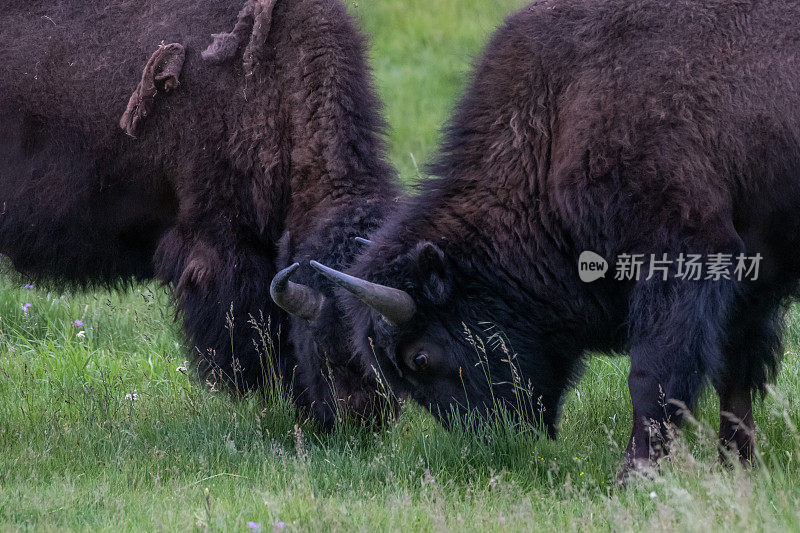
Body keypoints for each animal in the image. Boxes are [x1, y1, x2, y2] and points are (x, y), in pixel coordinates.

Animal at [308, 0, 800, 474]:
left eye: (420, 358)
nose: (493, 440)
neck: (555, 119)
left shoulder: (687, 256)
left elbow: (654, 376)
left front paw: (633, 475)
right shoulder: (748, 284)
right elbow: (733, 374)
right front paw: (737, 468)